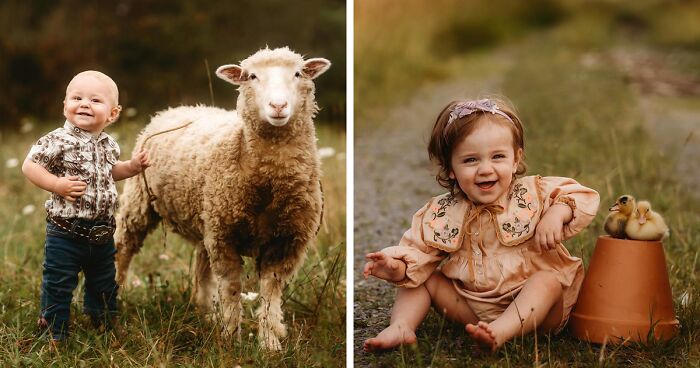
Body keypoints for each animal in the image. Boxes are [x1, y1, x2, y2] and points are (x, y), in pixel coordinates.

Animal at [114, 47, 330, 350]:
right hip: (141, 201)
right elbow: (231, 288)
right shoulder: (225, 237)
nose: (277, 106)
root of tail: (178, 108)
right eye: (251, 76)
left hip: (207, 217)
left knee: (202, 267)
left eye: (298, 73)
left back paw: (205, 313)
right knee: (124, 247)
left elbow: (270, 292)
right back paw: (116, 295)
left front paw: (269, 344)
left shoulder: (286, 241)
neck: (268, 184)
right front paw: (230, 339)